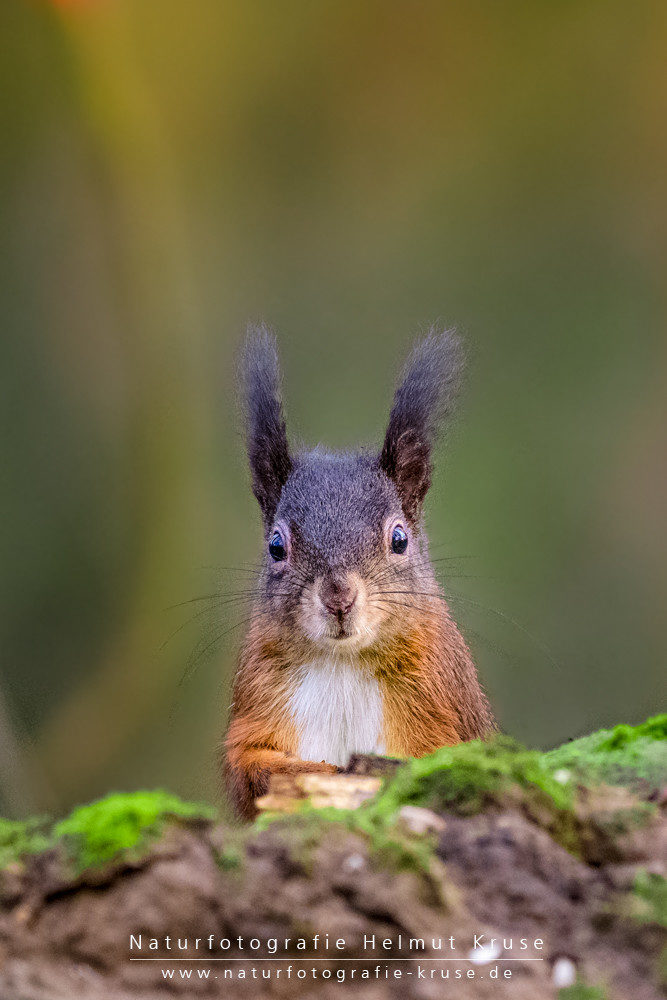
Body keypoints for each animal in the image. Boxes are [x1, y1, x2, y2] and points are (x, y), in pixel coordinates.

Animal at [224, 324, 496, 816]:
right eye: (276, 546)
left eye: (399, 539)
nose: (338, 597)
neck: (342, 662)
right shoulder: (257, 697)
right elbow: (248, 762)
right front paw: (312, 774)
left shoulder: (442, 702)